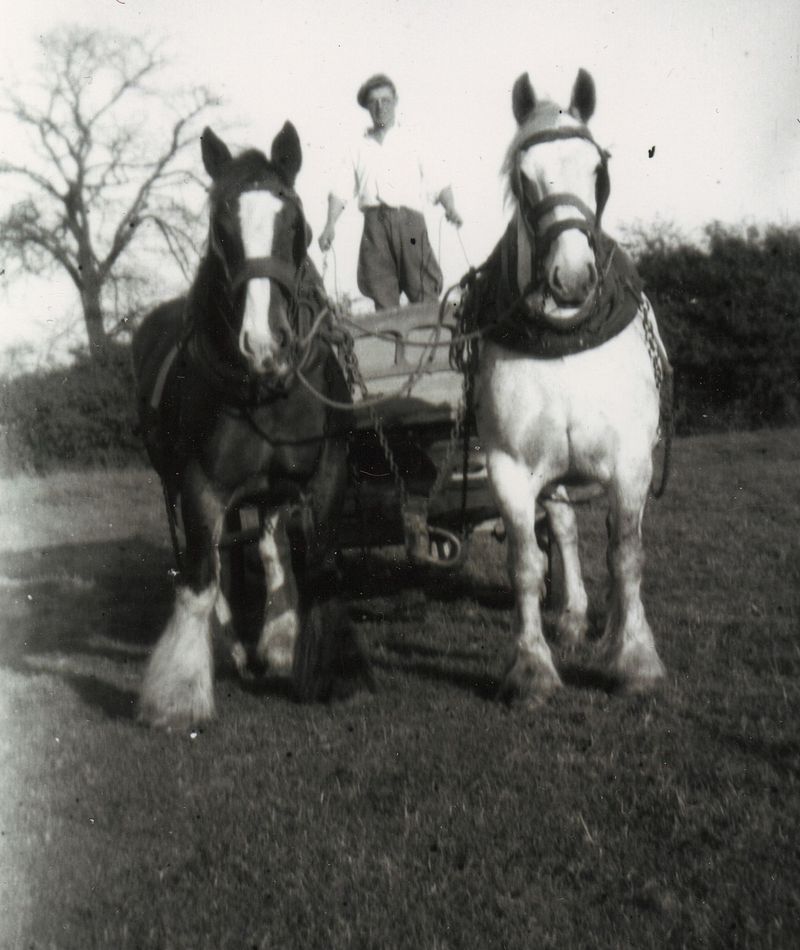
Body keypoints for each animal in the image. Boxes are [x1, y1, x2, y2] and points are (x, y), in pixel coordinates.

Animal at [132, 121, 368, 728]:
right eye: (220, 228)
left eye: (296, 223)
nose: (265, 343)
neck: (267, 389)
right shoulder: (199, 484)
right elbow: (199, 579)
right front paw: (178, 695)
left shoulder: (326, 471)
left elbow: (318, 566)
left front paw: (325, 668)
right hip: (174, 483)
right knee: (207, 559)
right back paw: (230, 646)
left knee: (266, 544)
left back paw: (277, 642)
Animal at [456, 69, 668, 708]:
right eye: (523, 179)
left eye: (598, 170)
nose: (571, 278)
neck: (566, 338)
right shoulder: (509, 466)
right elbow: (526, 562)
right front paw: (531, 668)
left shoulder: (630, 460)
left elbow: (626, 555)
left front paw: (635, 658)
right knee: (567, 529)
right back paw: (573, 615)